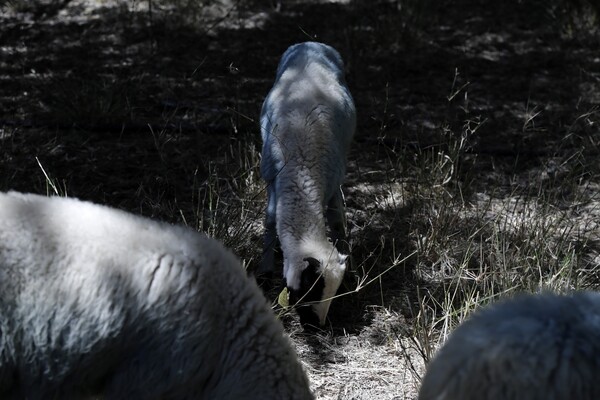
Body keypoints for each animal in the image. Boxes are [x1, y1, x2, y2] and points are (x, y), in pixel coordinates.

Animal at [258, 40, 356, 328]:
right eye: (313, 286)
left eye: (333, 291)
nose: (316, 326)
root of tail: (311, 43)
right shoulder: (272, 179)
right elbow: (269, 221)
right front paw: (265, 270)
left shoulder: (333, 185)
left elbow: (337, 222)